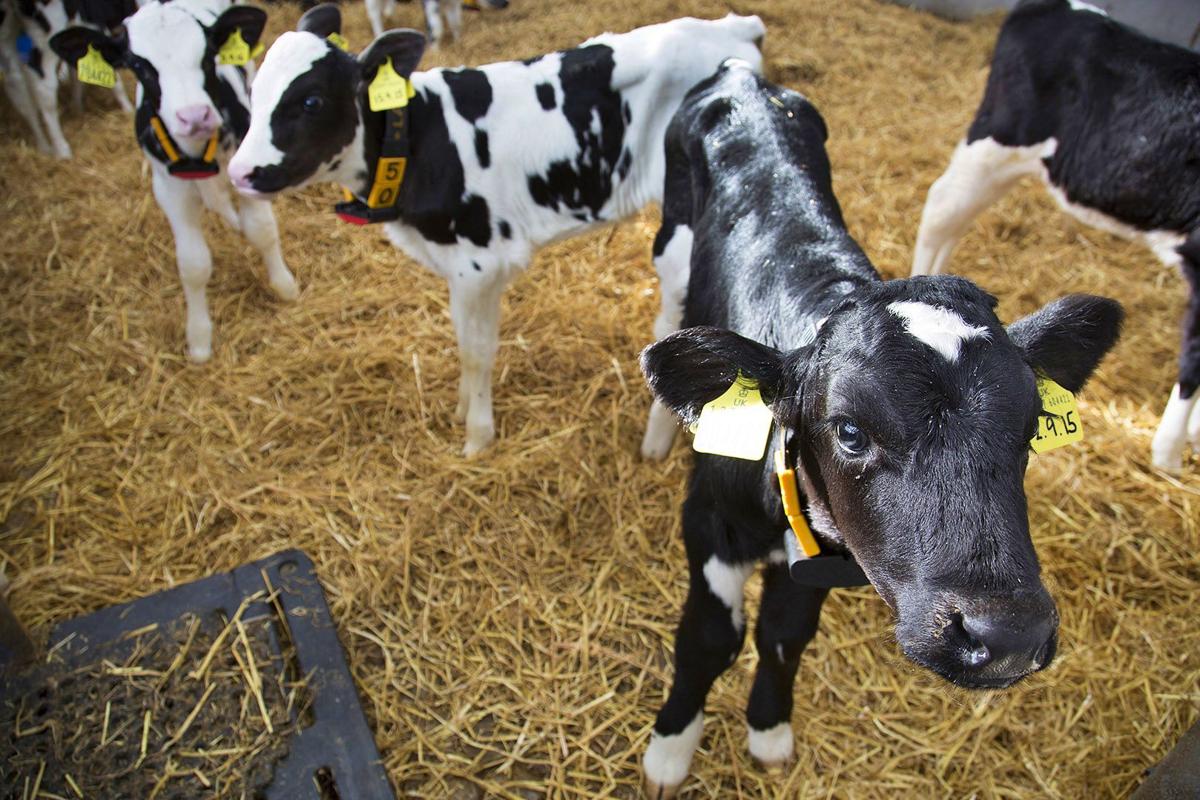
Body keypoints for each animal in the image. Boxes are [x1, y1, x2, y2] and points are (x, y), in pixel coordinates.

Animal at [1, 0, 139, 159]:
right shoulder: (90, 18)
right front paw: (128, 109)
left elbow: (76, 70)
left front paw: (77, 108)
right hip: (49, 25)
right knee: (43, 84)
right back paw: (62, 150)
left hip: (8, 26)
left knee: (16, 81)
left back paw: (44, 147)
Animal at [50, 0, 298, 362]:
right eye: (138, 65)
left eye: (208, 54)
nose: (194, 116)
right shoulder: (170, 190)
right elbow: (194, 264)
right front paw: (199, 339)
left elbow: (262, 230)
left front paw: (285, 286)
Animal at [226, 5, 766, 455]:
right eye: (254, 90)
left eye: (311, 100)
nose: (239, 172)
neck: (423, 140)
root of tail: (733, 27)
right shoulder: (456, 265)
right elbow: (464, 336)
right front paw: (464, 410)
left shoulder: (480, 261)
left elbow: (476, 351)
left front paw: (477, 437)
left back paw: (655, 445)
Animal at [364, 0, 509, 45]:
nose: (506, 4)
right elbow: (437, 28)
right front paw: (435, 51)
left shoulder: (453, 4)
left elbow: (455, 23)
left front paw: (458, 42)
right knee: (373, 11)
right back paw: (379, 34)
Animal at [637, 61, 1122, 798]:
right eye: (849, 432)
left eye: (1033, 428)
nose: (1006, 635)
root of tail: (741, 74)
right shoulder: (711, 523)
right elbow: (708, 637)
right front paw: (670, 749)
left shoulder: (823, 556)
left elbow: (784, 633)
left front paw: (769, 730)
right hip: (672, 240)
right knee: (670, 312)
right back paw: (660, 433)